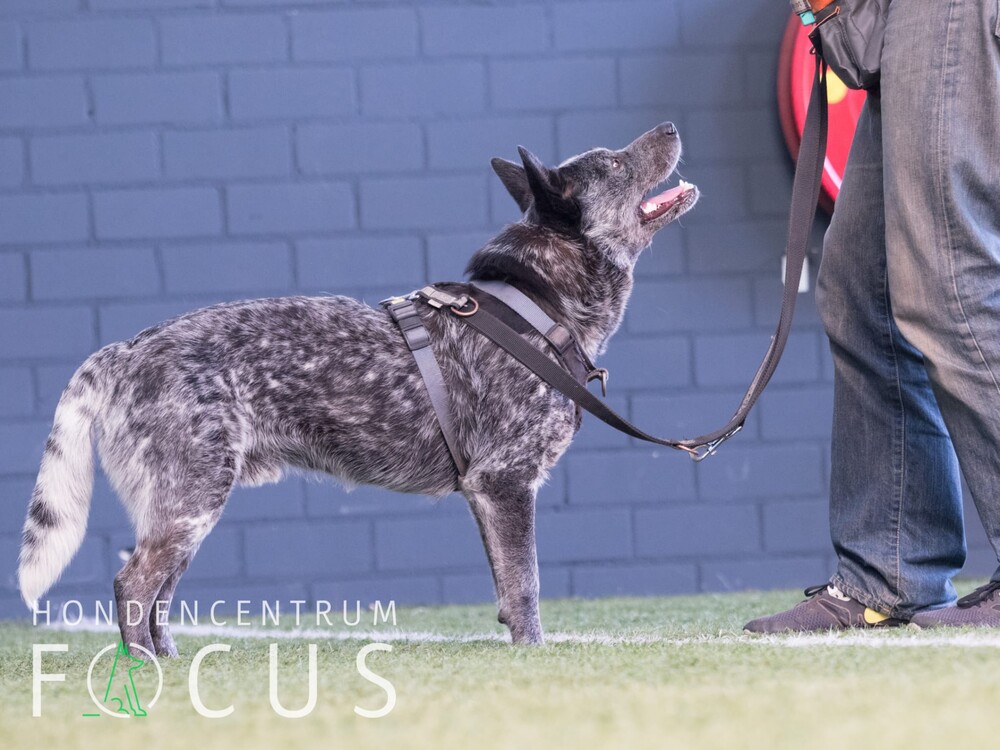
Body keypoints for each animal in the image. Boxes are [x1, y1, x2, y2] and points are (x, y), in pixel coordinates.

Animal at [17, 122, 698, 651]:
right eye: (615, 162)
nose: (670, 126)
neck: (536, 306)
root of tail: (125, 350)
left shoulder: (485, 494)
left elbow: (507, 590)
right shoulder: (506, 482)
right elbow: (526, 587)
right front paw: (535, 658)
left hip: (184, 506)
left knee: (157, 592)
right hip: (192, 498)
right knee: (133, 585)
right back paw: (145, 674)